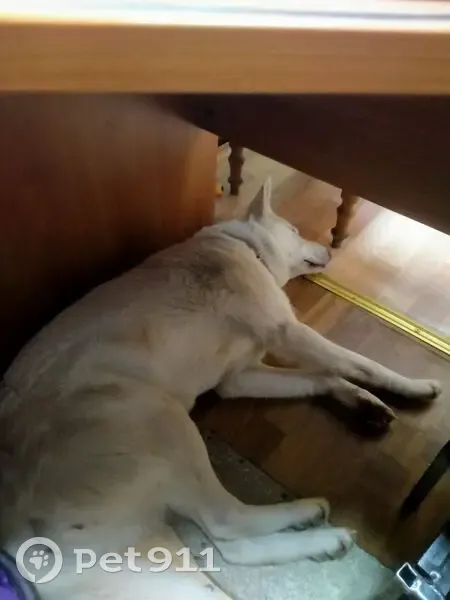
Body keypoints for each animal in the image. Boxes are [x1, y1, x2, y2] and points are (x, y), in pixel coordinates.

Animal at [0, 179, 441, 599]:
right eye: (295, 230)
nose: (329, 251)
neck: (246, 247)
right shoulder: (288, 333)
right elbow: (359, 362)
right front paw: (415, 387)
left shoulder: (238, 378)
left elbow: (320, 377)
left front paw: (363, 402)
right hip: (158, 415)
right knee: (227, 522)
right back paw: (314, 521)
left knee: (229, 546)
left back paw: (316, 539)